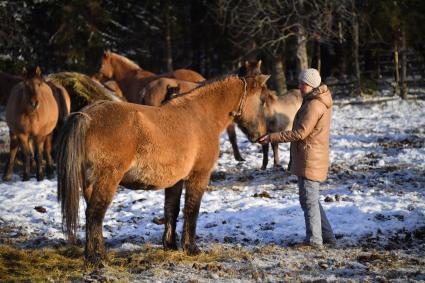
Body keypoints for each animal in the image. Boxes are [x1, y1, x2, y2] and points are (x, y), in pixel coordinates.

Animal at [56, 74, 268, 268]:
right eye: (261, 101)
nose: (262, 135)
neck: (201, 115)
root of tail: (87, 116)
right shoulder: (198, 176)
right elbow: (192, 210)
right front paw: (191, 248)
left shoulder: (176, 181)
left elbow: (171, 210)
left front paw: (170, 245)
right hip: (107, 180)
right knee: (95, 214)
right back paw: (96, 259)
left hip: (90, 183)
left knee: (93, 217)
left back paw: (98, 254)